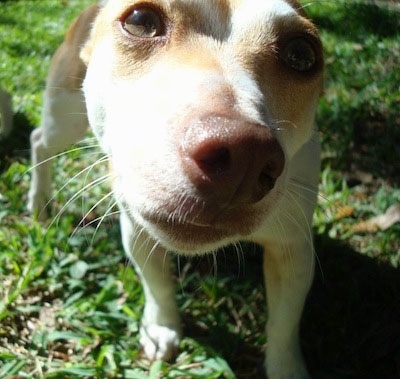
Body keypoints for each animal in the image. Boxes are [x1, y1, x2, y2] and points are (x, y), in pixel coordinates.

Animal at [28, 1, 324, 378]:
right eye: (140, 20)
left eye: (302, 54)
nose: (244, 156)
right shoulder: (139, 228)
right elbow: (157, 285)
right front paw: (161, 328)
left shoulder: (293, 249)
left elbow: (285, 321)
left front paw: (285, 367)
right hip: (65, 115)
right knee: (40, 140)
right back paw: (39, 202)